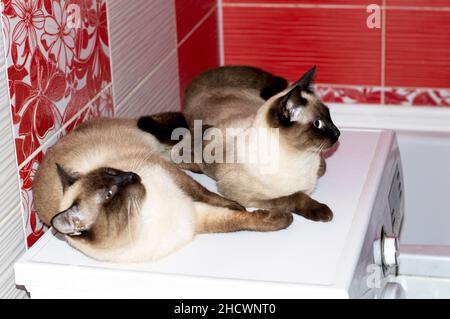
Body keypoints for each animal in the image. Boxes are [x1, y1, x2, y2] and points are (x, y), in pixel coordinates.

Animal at [31, 117, 292, 262]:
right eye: (109, 194)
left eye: (113, 173)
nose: (132, 175)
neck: (143, 215)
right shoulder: (196, 217)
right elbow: (237, 222)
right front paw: (279, 218)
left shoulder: (176, 180)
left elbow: (214, 198)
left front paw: (247, 208)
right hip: (164, 156)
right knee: (180, 150)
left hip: (156, 151)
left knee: (177, 136)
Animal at [139, 66, 340, 224]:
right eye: (318, 124)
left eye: (330, 117)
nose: (338, 133)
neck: (301, 157)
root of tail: (198, 82)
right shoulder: (244, 195)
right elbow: (295, 196)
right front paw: (323, 212)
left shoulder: (320, 164)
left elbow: (322, 169)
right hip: (188, 145)